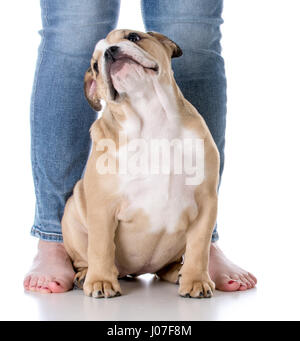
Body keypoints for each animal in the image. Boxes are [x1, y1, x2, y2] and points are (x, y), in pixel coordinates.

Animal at [61, 28, 220, 298]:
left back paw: (179, 273)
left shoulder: (206, 202)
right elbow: (101, 247)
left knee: (170, 265)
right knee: (86, 257)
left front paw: (196, 281)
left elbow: (199, 247)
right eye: (95, 66)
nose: (110, 51)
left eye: (133, 37)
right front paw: (101, 282)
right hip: (72, 214)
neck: (151, 114)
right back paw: (85, 276)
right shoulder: (102, 207)